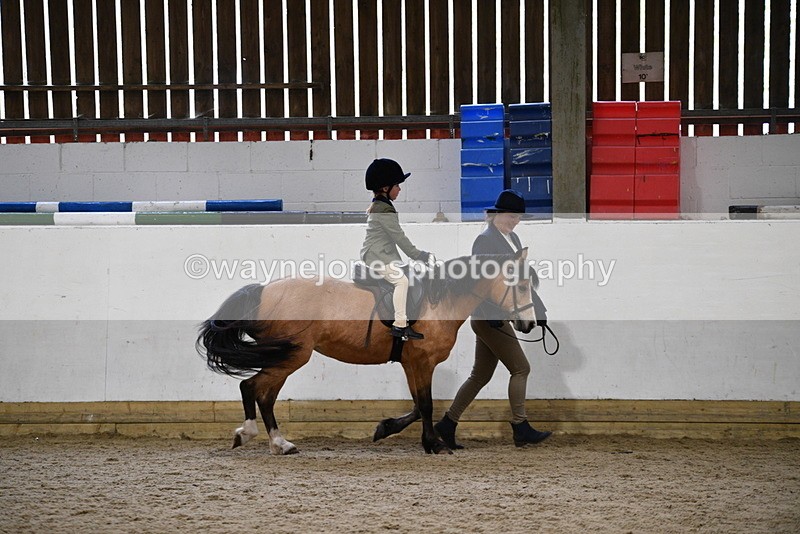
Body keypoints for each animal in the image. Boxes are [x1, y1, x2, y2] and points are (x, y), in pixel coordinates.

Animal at [196, 248, 537, 455]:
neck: (439, 302)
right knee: (251, 387)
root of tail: (264, 291)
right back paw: (251, 433)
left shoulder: (411, 363)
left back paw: (279, 443)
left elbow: (417, 405)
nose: (529, 324)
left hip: (285, 357)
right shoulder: (423, 362)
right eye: (521, 286)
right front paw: (434, 444)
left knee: (264, 395)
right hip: (291, 356)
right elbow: (426, 405)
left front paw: (386, 429)